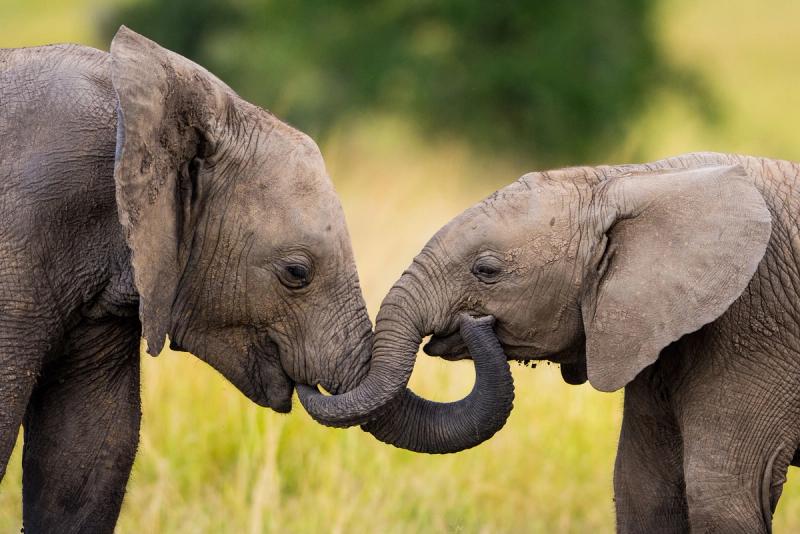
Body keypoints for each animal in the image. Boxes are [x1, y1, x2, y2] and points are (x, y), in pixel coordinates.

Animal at [376, 151, 800, 533]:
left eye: (487, 271)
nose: (473, 321)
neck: (632, 178)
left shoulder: (755, 327)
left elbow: (720, 498)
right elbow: (642, 491)